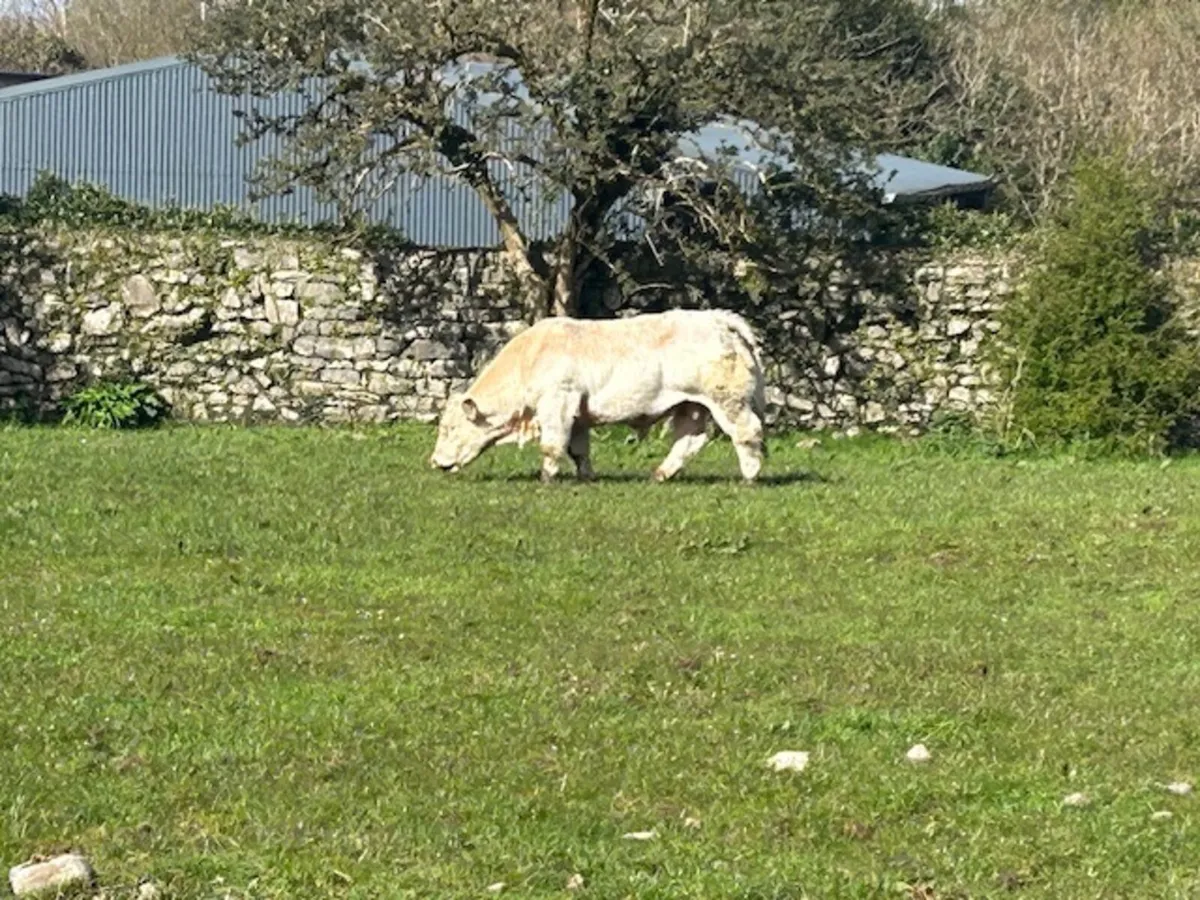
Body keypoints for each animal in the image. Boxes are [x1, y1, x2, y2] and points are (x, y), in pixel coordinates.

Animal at [429, 309, 767, 483]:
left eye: (450, 428)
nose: (434, 462)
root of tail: (718, 319)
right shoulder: (577, 413)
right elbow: (578, 450)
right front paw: (586, 477)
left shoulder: (557, 402)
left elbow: (552, 446)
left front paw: (547, 478)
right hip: (691, 405)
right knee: (690, 440)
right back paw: (660, 474)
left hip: (728, 401)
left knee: (747, 432)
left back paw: (749, 476)